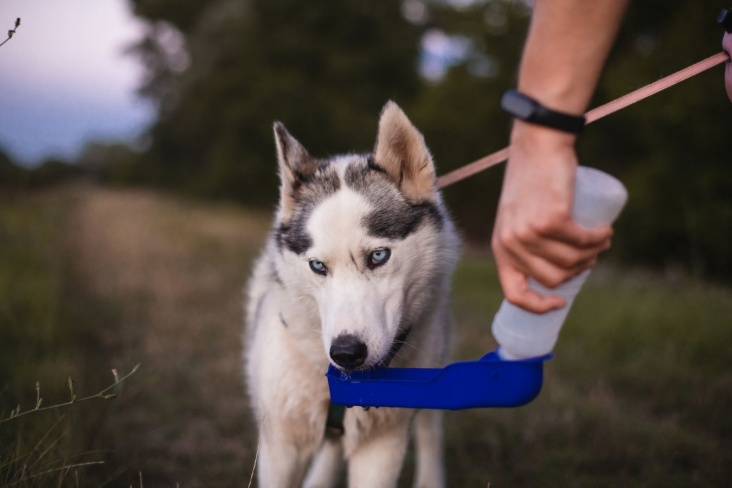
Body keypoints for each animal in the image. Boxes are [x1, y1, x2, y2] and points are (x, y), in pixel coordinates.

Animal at [243, 101, 458, 486]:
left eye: (378, 256)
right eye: (317, 266)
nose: (346, 353)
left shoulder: (383, 446)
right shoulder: (280, 446)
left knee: (430, 434)